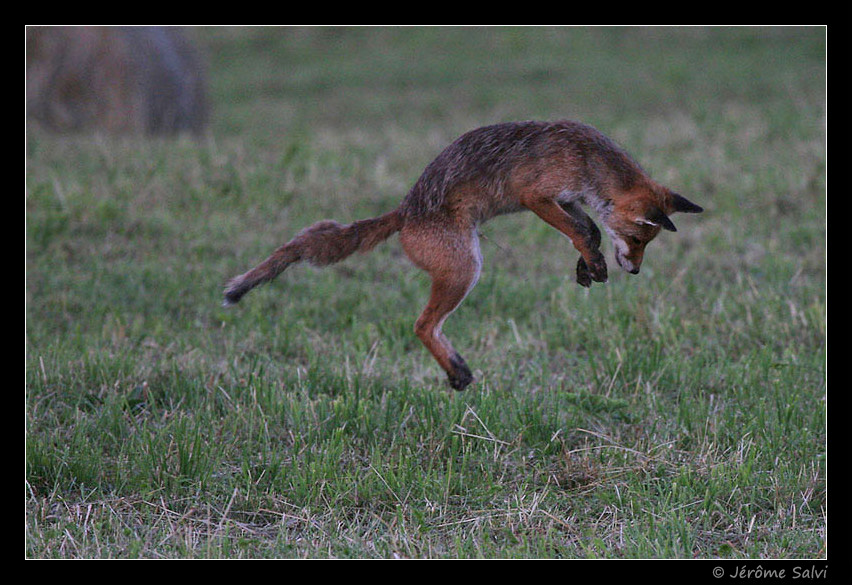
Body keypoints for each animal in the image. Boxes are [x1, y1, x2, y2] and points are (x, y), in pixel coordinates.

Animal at [224, 120, 703, 391]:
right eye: (638, 239)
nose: (635, 270)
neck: (586, 160)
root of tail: (404, 212)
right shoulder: (536, 196)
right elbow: (581, 231)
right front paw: (594, 262)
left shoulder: (567, 199)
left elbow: (590, 228)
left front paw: (587, 265)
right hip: (465, 268)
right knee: (421, 325)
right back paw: (455, 371)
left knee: (428, 326)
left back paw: (458, 370)